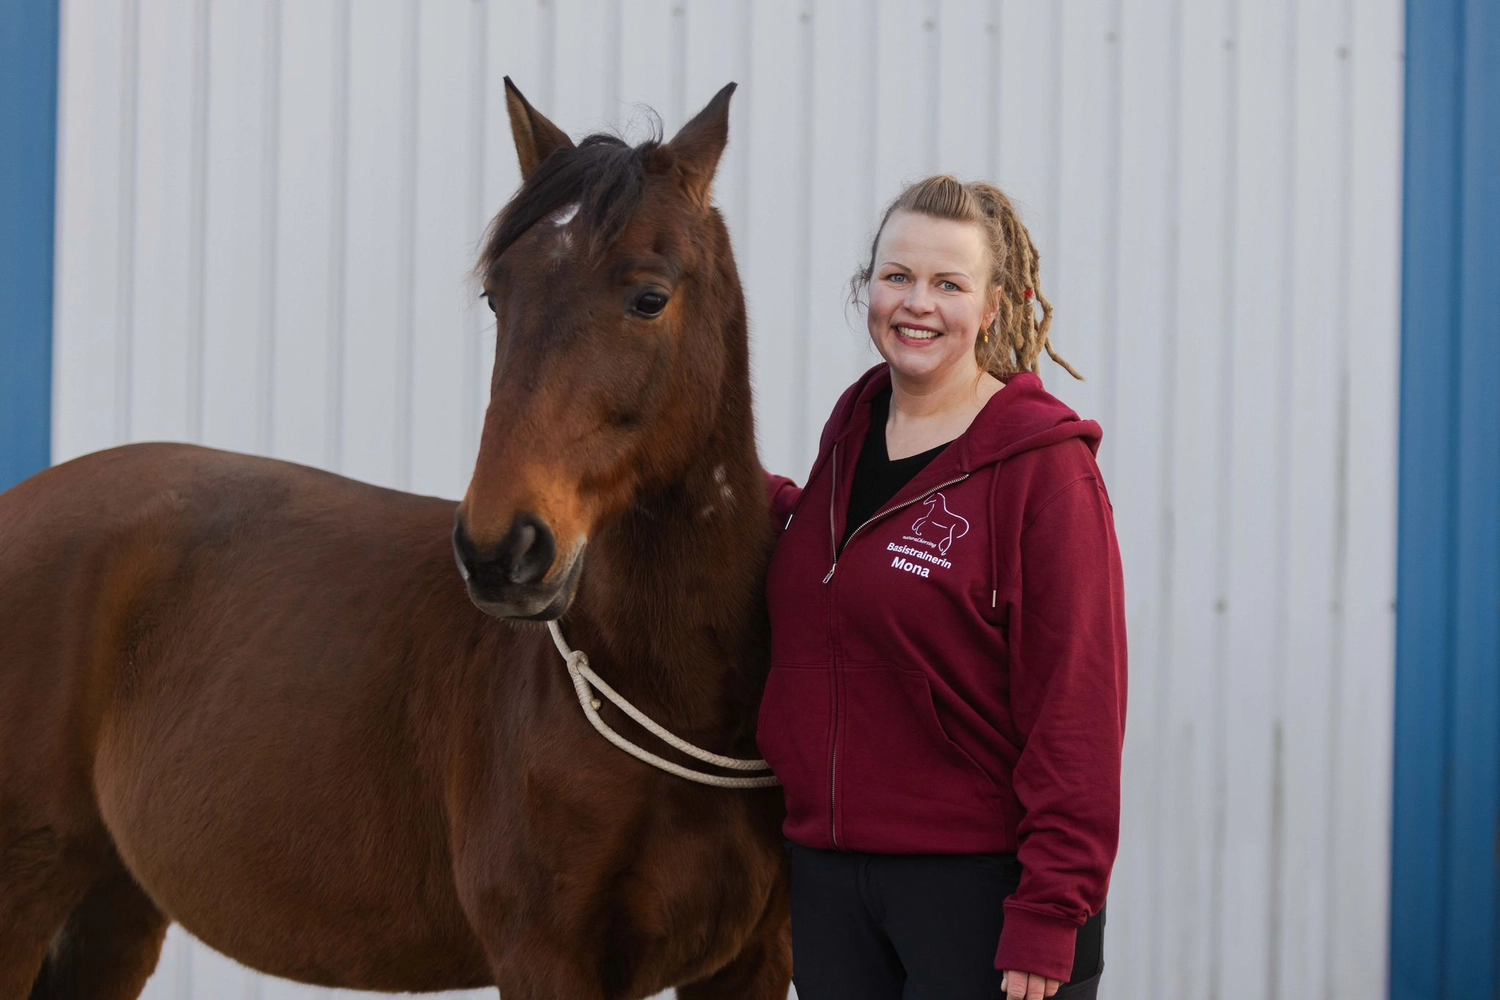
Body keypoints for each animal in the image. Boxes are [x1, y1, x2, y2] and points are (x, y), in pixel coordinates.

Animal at [0, 80, 790, 1000]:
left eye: (649, 297)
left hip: (112, 907)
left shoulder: (753, 958)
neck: (672, 693)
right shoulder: (543, 956)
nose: (500, 551)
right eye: (497, 296)